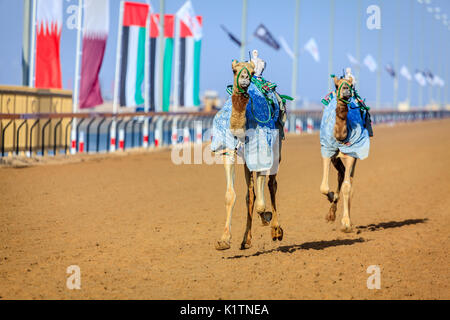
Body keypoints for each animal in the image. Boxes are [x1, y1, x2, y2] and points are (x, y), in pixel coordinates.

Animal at [214, 60, 284, 250]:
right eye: (234, 70)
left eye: (251, 72)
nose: (245, 79)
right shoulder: (228, 150)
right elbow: (231, 195)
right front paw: (224, 240)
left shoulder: (261, 150)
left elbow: (261, 204)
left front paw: (267, 218)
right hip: (246, 159)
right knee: (250, 194)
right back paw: (246, 240)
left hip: (277, 146)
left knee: (272, 184)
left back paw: (276, 230)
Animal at [318, 75, 370, 232]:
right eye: (337, 85)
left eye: (351, 85)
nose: (346, 90)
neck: (341, 136)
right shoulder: (327, 150)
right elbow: (324, 187)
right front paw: (331, 197)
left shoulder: (353, 153)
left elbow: (347, 187)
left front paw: (346, 223)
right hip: (336, 158)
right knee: (341, 174)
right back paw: (331, 213)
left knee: (348, 181)